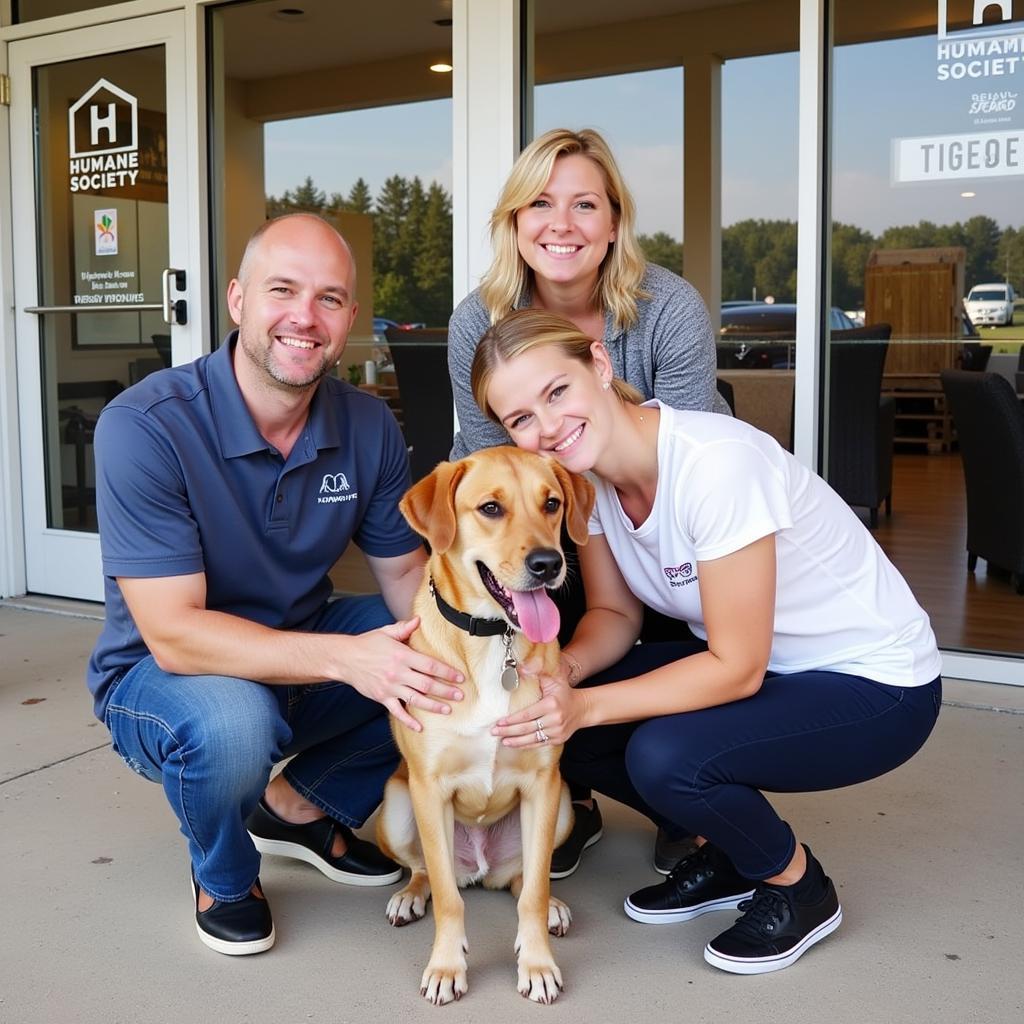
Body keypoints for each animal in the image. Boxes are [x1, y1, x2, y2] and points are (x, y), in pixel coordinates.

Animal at [378, 450, 593, 1007]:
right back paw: (410, 896)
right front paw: (446, 967)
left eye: (552, 503)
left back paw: (549, 905)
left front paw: (537, 963)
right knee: (429, 872)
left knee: (522, 881)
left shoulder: (543, 784)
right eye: (491, 508)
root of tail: (480, 868)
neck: (497, 641)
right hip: (397, 807)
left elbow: (534, 892)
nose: (548, 564)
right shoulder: (428, 788)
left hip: (561, 808)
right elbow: (449, 900)